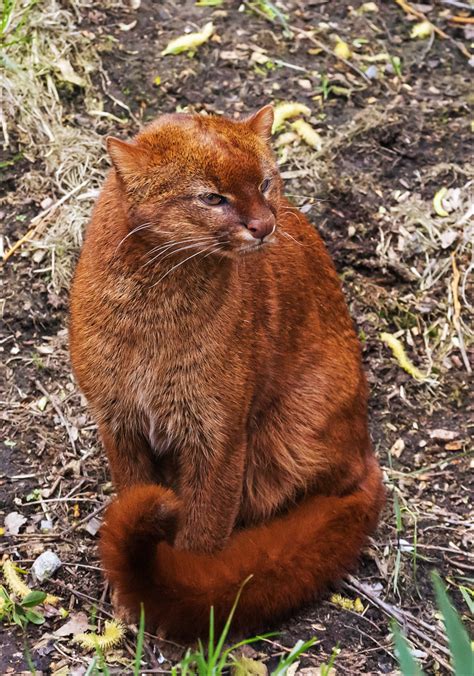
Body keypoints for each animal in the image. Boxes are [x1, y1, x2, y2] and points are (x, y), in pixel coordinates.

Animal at [68, 105, 384, 640]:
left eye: (265, 182)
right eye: (212, 197)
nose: (264, 225)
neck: (153, 311)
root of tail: (368, 458)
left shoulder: (218, 435)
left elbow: (203, 534)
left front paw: (176, 596)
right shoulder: (119, 421)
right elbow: (133, 489)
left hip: (290, 429)